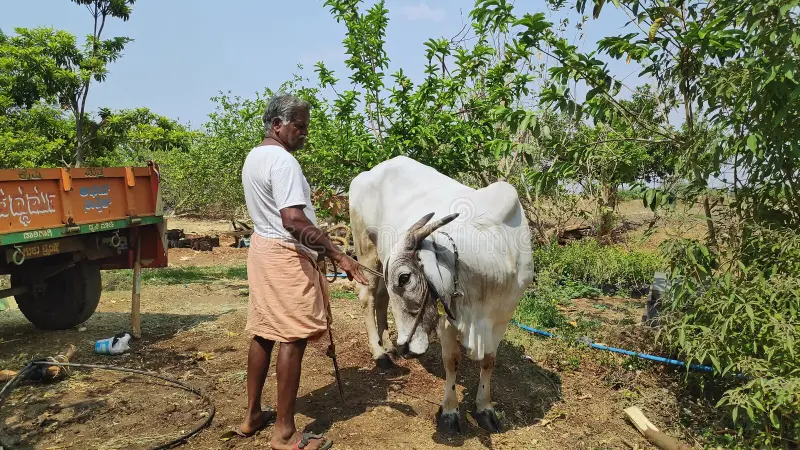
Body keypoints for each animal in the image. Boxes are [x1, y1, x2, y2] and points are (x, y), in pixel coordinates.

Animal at [348, 156, 534, 434]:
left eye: (404, 278)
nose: (405, 346)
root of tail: (367, 173)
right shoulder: (447, 318)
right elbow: (451, 360)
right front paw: (449, 412)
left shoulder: (503, 316)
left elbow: (489, 360)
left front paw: (485, 408)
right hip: (365, 250)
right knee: (368, 298)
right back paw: (380, 354)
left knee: (381, 299)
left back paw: (388, 346)